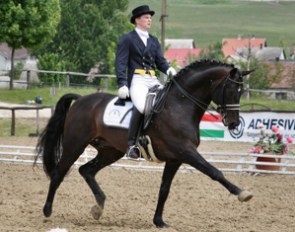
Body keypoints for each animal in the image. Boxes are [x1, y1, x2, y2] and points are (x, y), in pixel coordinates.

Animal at [35, 59, 254, 228]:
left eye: (241, 91)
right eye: (231, 90)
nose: (234, 124)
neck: (180, 105)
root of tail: (81, 100)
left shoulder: (175, 159)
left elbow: (164, 189)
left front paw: (159, 221)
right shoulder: (186, 152)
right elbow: (214, 172)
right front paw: (242, 193)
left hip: (110, 151)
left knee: (86, 170)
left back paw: (99, 207)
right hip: (75, 145)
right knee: (59, 173)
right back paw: (47, 211)